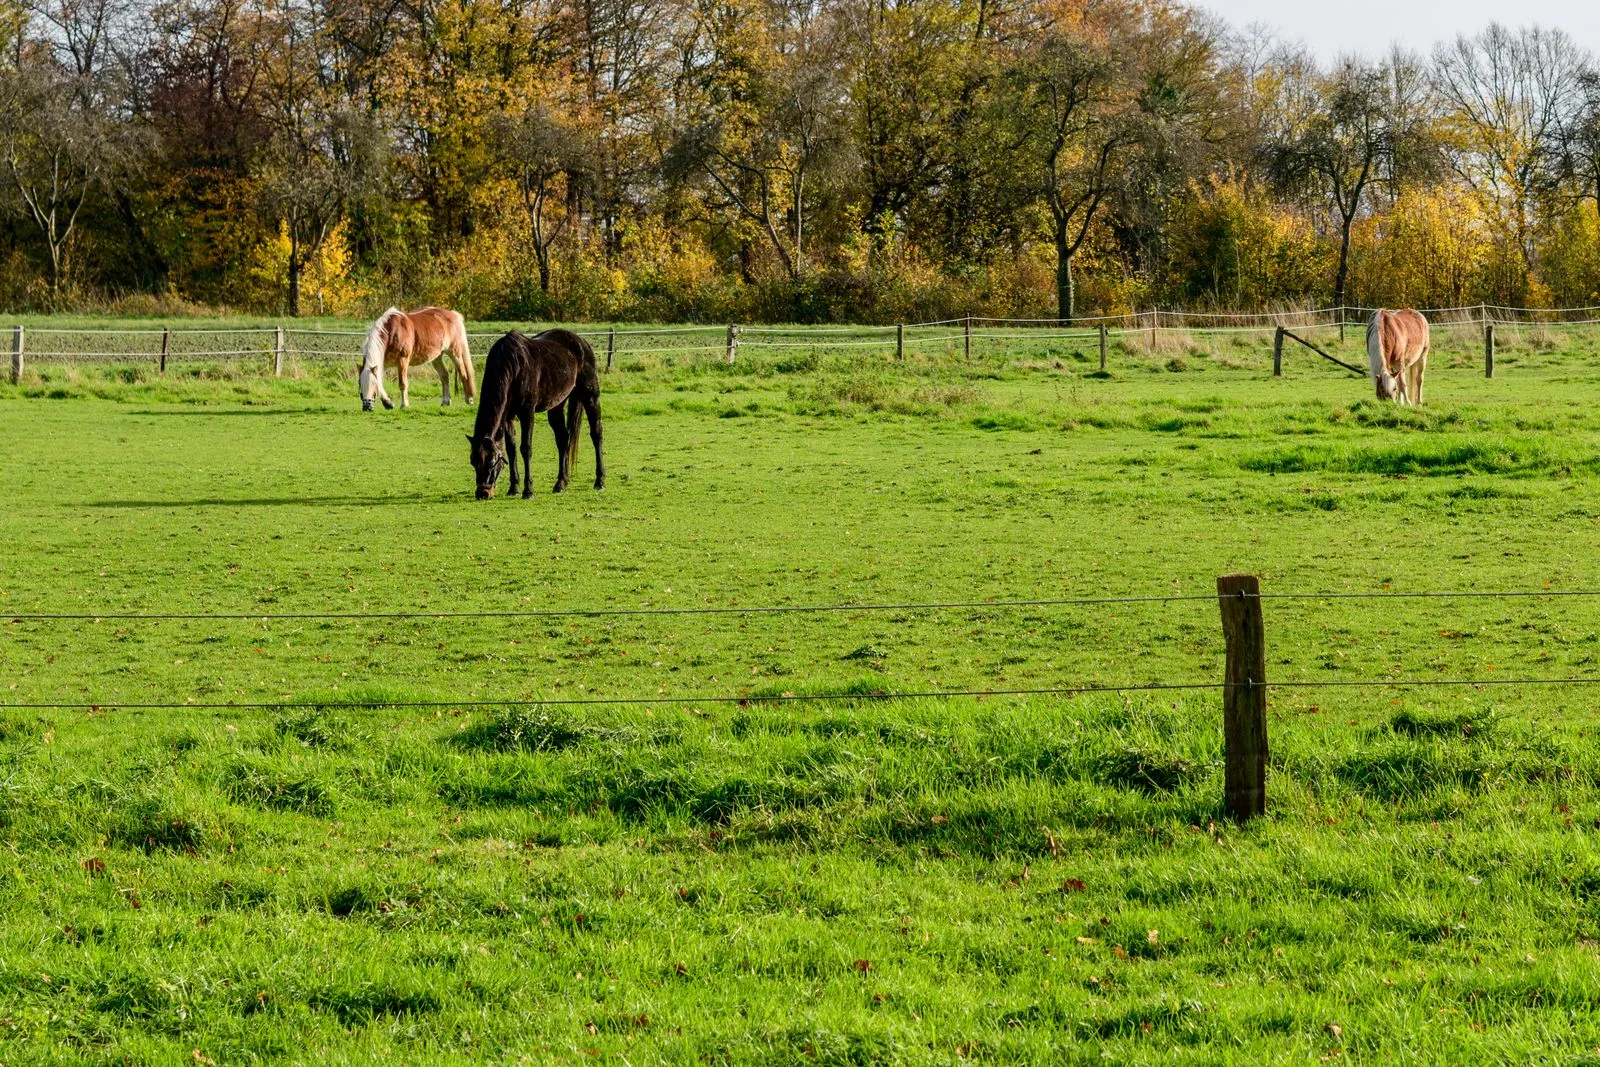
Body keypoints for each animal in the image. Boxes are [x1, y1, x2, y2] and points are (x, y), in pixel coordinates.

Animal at [467, 329, 604, 499]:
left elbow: (526, 448)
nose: (483, 493)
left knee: (596, 434)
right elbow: (511, 449)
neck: (513, 366)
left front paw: (528, 491)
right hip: (557, 405)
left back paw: (600, 481)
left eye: (492, 461)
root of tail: (582, 342)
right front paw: (513, 488)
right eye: (473, 461)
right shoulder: (508, 417)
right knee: (563, 439)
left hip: (591, 396)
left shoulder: (527, 412)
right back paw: (561, 483)